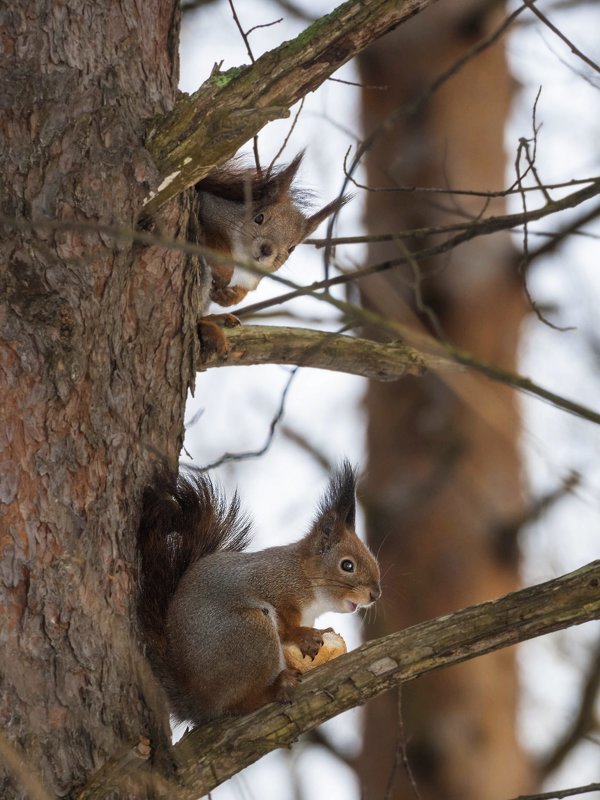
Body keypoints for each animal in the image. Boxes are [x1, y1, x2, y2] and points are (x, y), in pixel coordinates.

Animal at [137, 462, 380, 724]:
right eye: (347, 565)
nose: (375, 594)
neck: (304, 576)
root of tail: (200, 702)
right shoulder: (270, 584)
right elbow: (285, 626)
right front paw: (303, 635)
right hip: (250, 632)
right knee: (239, 704)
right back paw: (274, 688)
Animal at [195, 155, 350, 354]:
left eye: (292, 248)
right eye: (259, 218)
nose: (266, 250)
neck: (244, 258)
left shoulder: (253, 278)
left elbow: (244, 291)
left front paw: (230, 297)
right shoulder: (209, 209)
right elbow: (214, 240)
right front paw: (224, 273)